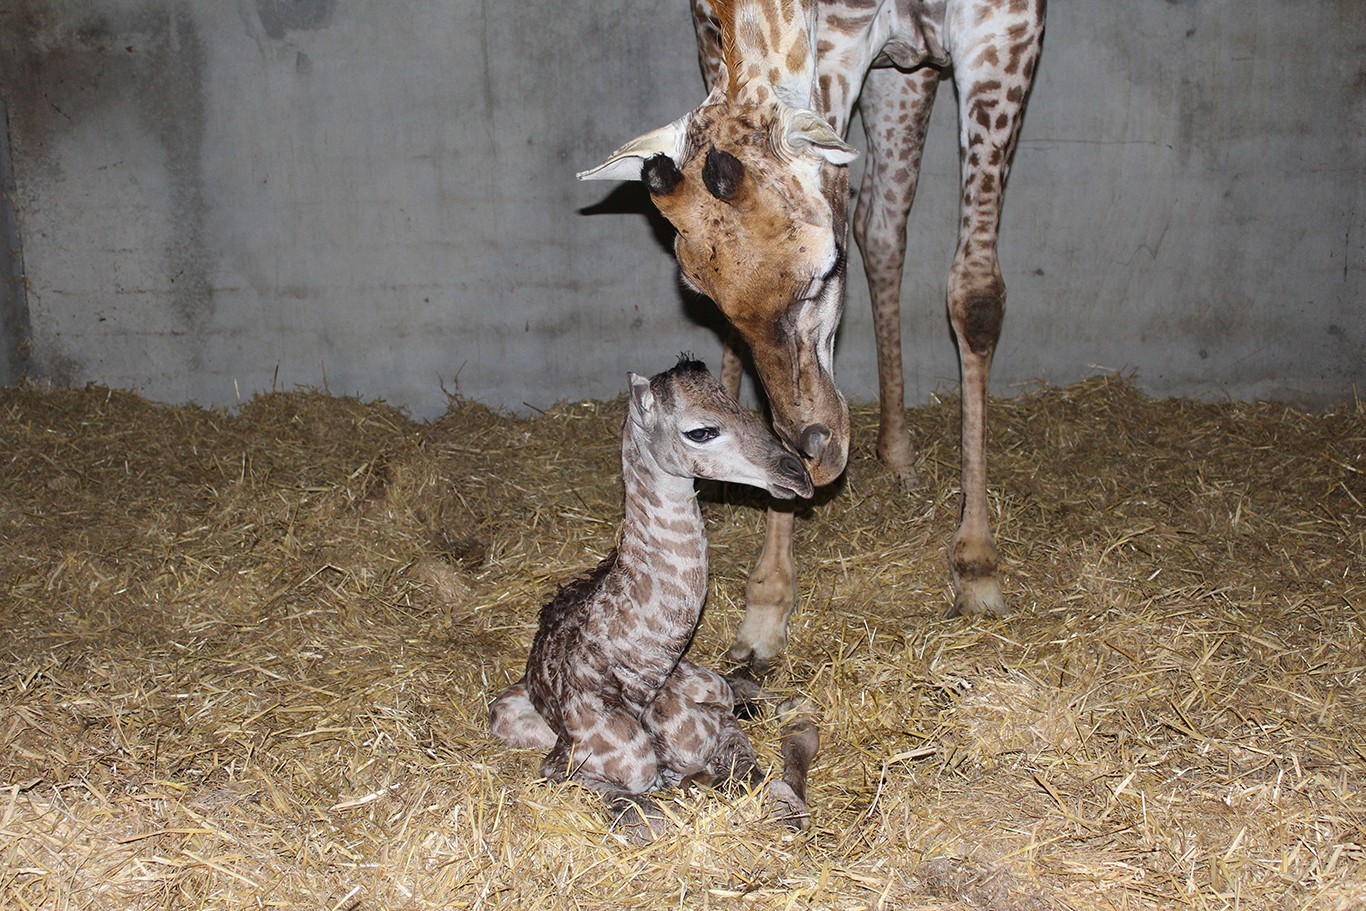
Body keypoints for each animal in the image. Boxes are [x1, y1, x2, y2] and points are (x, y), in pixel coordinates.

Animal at [489, 357, 820, 838]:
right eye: (701, 431)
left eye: (744, 407)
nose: (797, 475)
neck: (642, 680)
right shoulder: (575, 765)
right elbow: (650, 811)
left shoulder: (714, 717)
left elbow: (761, 772)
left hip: (710, 680)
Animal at [579, 0, 1045, 668]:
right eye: (700, 293)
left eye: (827, 269)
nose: (819, 459)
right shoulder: (819, 41)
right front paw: (766, 606)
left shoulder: (1003, 26)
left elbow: (976, 297)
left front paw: (978, 569)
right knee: (881, 223)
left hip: (910, 70)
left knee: (883, 225)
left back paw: (897, 456)